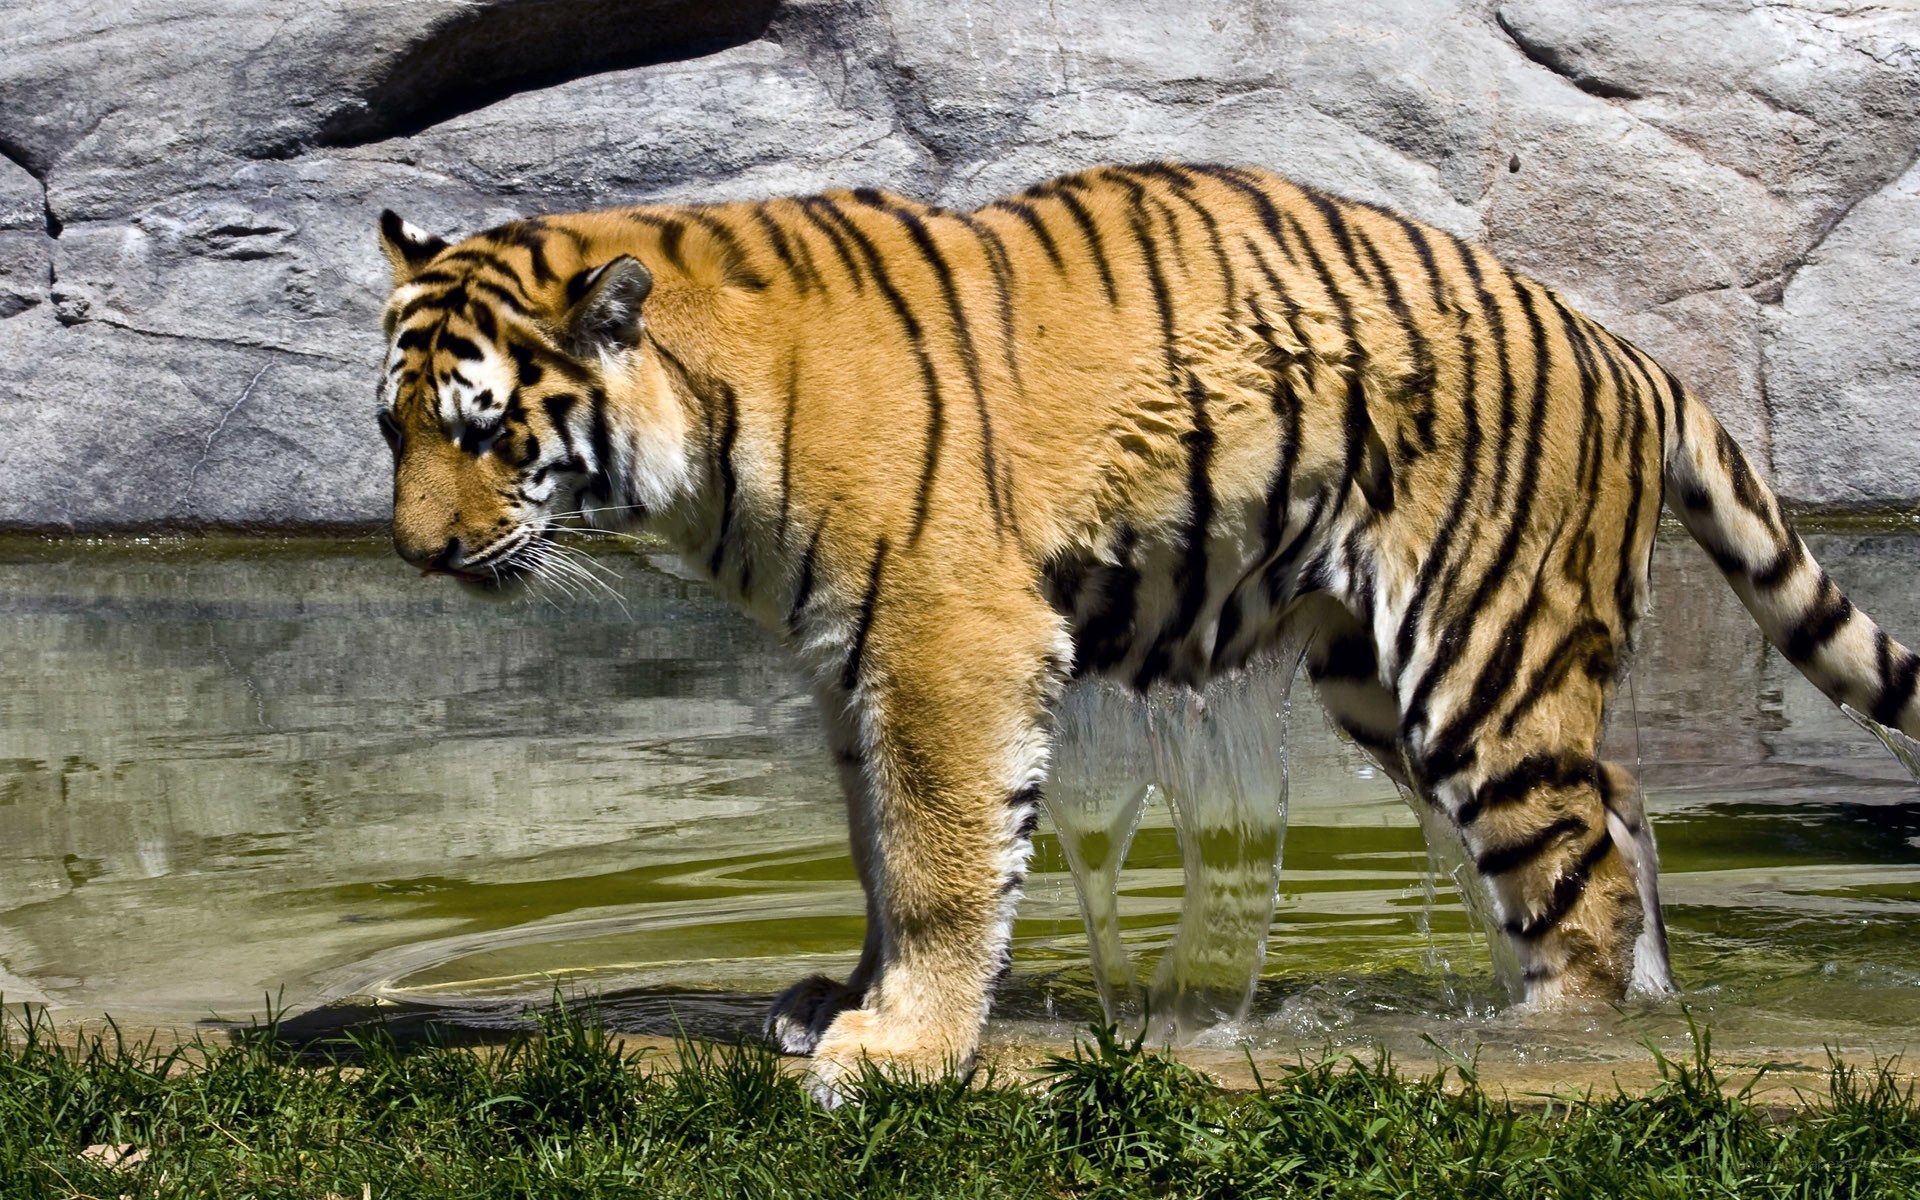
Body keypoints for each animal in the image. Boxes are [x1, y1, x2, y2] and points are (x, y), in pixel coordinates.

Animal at [372, 162, 1920, 1101]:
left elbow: (938, 859)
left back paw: (1540, 1046)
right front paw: (846, 998)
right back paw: (1638, 1011)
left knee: (1578, 877)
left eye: (489, 430)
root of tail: (1631, 352)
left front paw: (899, 1044)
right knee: (1620, 809)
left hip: (1478, 651)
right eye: (395, 430)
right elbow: (879, 847)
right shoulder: (851, 655)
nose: (417, 553)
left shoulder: (947, 634)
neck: (702, 430)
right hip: (1386, 673)